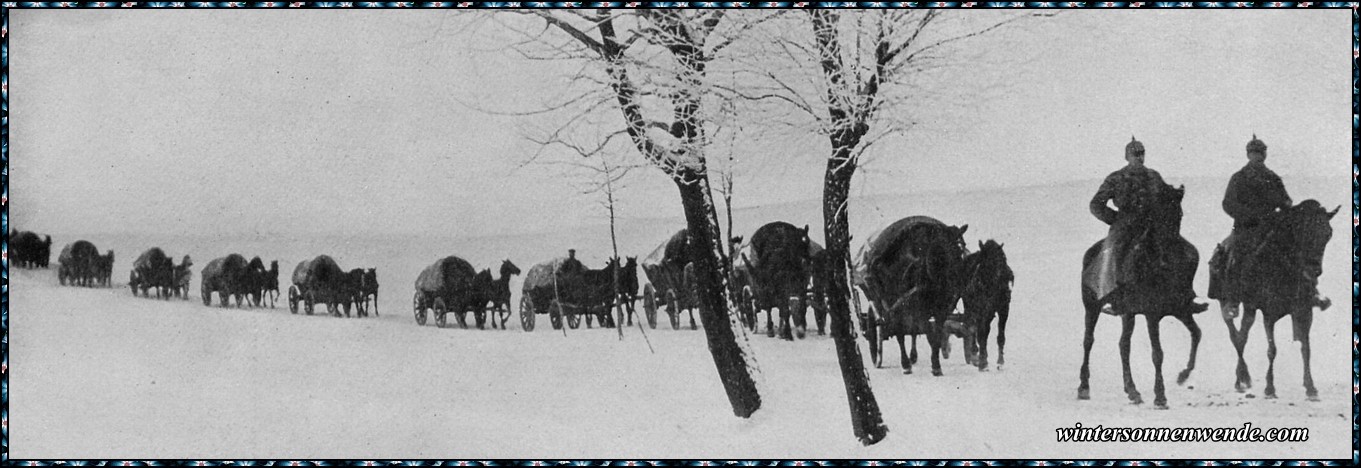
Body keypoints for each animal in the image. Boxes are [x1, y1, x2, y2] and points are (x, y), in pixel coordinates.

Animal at [860, 216, 969, 375]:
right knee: (899, 330)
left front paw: (936, 364)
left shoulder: (940, 310)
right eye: (941, 249)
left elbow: (935, 333)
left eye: (961, 248)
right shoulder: (907, 308)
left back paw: (913, 356)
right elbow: (918, 331)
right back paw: (905, 362)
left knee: (913, 329)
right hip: (892, 305)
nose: (956, 279)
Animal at [958, 239, 1012, 370]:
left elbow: (1000, 336)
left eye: (1002, 258)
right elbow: (981, 334)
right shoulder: (982, 310)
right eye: (984, 260)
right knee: (970, 326)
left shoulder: (1004, 309)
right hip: (970, 306)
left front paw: (1000, 362)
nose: (1004, 276)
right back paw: (974, 353)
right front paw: (983, 362)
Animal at [1077, 182, 1208, 408]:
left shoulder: (1180, 310)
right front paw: (1160, 395)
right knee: (1088, 341)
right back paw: (1084, 387)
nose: (1168, 252)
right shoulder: (1151, 315)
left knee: (1123, 345)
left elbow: (1196, 333)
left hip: (1127, 314)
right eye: (1157, 215)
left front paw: (1183, 376)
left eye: (1179, 214)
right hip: (1091, 307)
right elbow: (1157, 353)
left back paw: (1132, 391)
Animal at [1219, 198, 1333, 399]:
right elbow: (1272, 350)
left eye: (1328, 234)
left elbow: (1306, 348)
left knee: (1242, 334)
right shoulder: (1269, 315)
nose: (1314, 271)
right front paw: (1270, 388)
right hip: (1227, 303)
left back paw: (1243, 378)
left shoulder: (1305, 311)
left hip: (1250, 309)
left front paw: (1310, 387)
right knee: (1235, 336)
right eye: (1303, 233)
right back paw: (1241, 380)